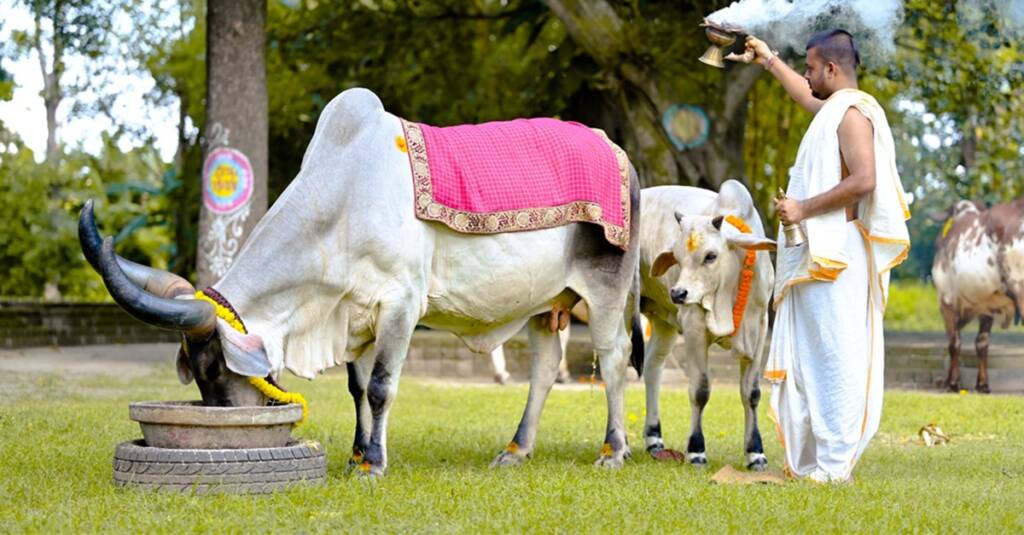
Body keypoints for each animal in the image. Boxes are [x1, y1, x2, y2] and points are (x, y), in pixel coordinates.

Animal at [79, 88, 643, 477]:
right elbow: (355, 387)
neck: (341, 204)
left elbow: (379, 387)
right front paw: (354, 454)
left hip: (605, 287)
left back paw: (613, 451)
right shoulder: (352, 315)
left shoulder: (401, 306)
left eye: (215, 368)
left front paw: (372, 462)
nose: (233, 423)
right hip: (545, 303)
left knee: (614, 358)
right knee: (545, 367)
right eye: (197, 375)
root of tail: (617, 151)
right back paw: (516, 449)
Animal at [637, 181, 776, 470]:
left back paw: (654, 439)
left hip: (664, 324)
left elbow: (752, 393)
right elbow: (700, 390)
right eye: (677, 257)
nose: (678, 293)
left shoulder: (759, 328)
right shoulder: (693, 328)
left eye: (710, 256)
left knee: (653, 367)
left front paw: (755, 453)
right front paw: (696, 450)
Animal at [931, 197, 1024, 393]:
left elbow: (954, 342)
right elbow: (981, 343)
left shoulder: (945, 299)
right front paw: (982, 384)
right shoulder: (987, 306)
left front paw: (953, 383)